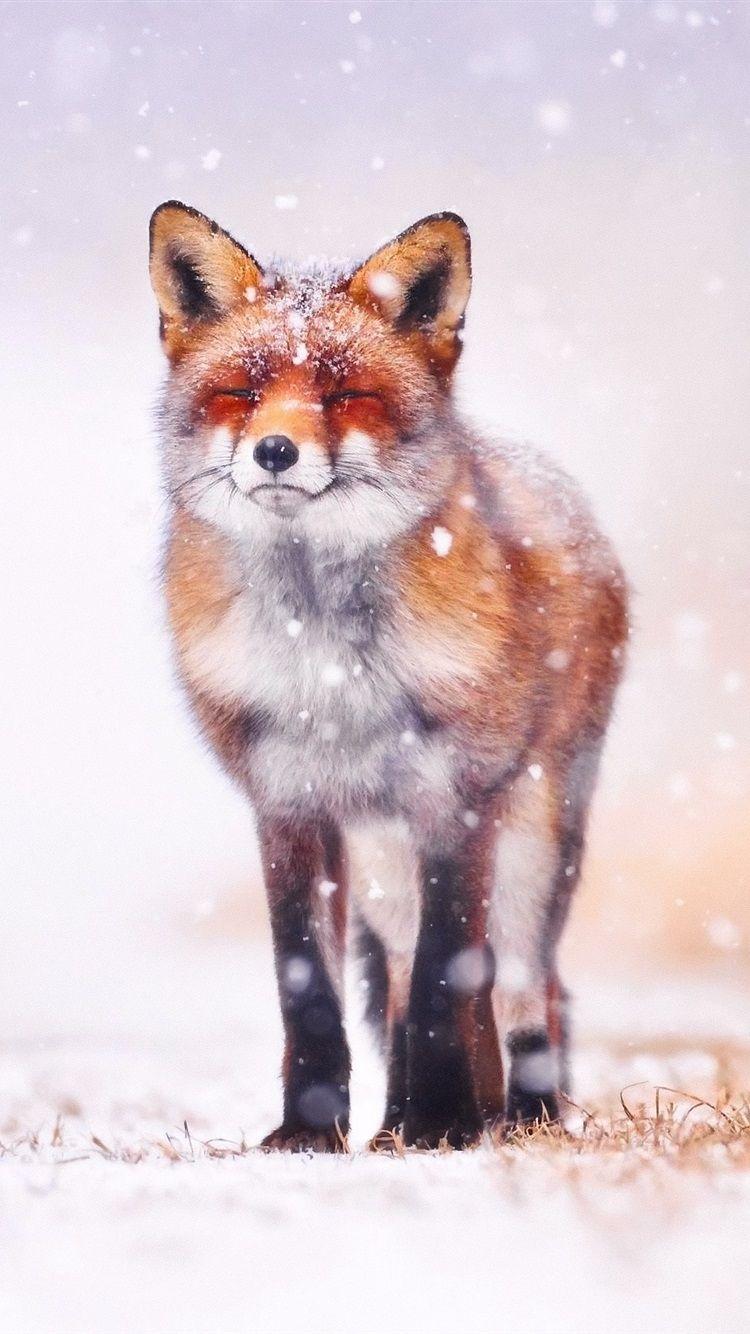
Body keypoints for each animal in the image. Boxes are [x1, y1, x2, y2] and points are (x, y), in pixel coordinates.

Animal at [148, 201, 628, 1151]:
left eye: (344, 396)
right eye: (243, 393)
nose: (274, 450)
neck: (326, 668)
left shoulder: (454, 800)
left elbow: (452, 980)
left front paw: (445, 1126)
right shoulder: (288, 807)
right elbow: (312, 991)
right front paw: (310, 1135)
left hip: (530, 841)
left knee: (528, 988)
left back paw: (516, 1118)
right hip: (379, 859)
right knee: (404, 977)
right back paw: (400, 1120)